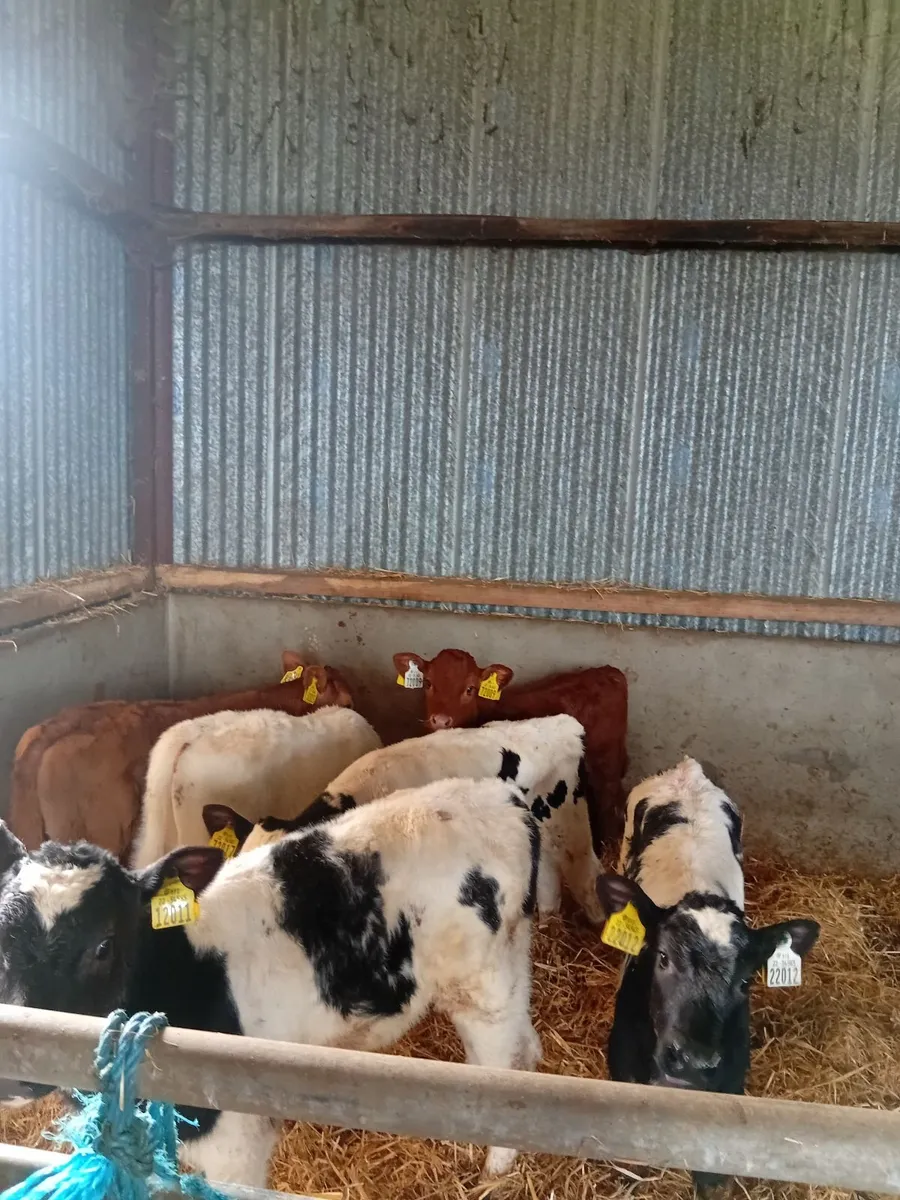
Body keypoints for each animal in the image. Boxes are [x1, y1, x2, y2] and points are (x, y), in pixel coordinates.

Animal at [0, 778, 542, 1186]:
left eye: (103, 945)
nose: (13, 1073)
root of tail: (500, 797)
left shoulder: (233, 1138)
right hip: (509, 954)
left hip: (478, 981)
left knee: (497, 1059)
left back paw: (498, 1162)